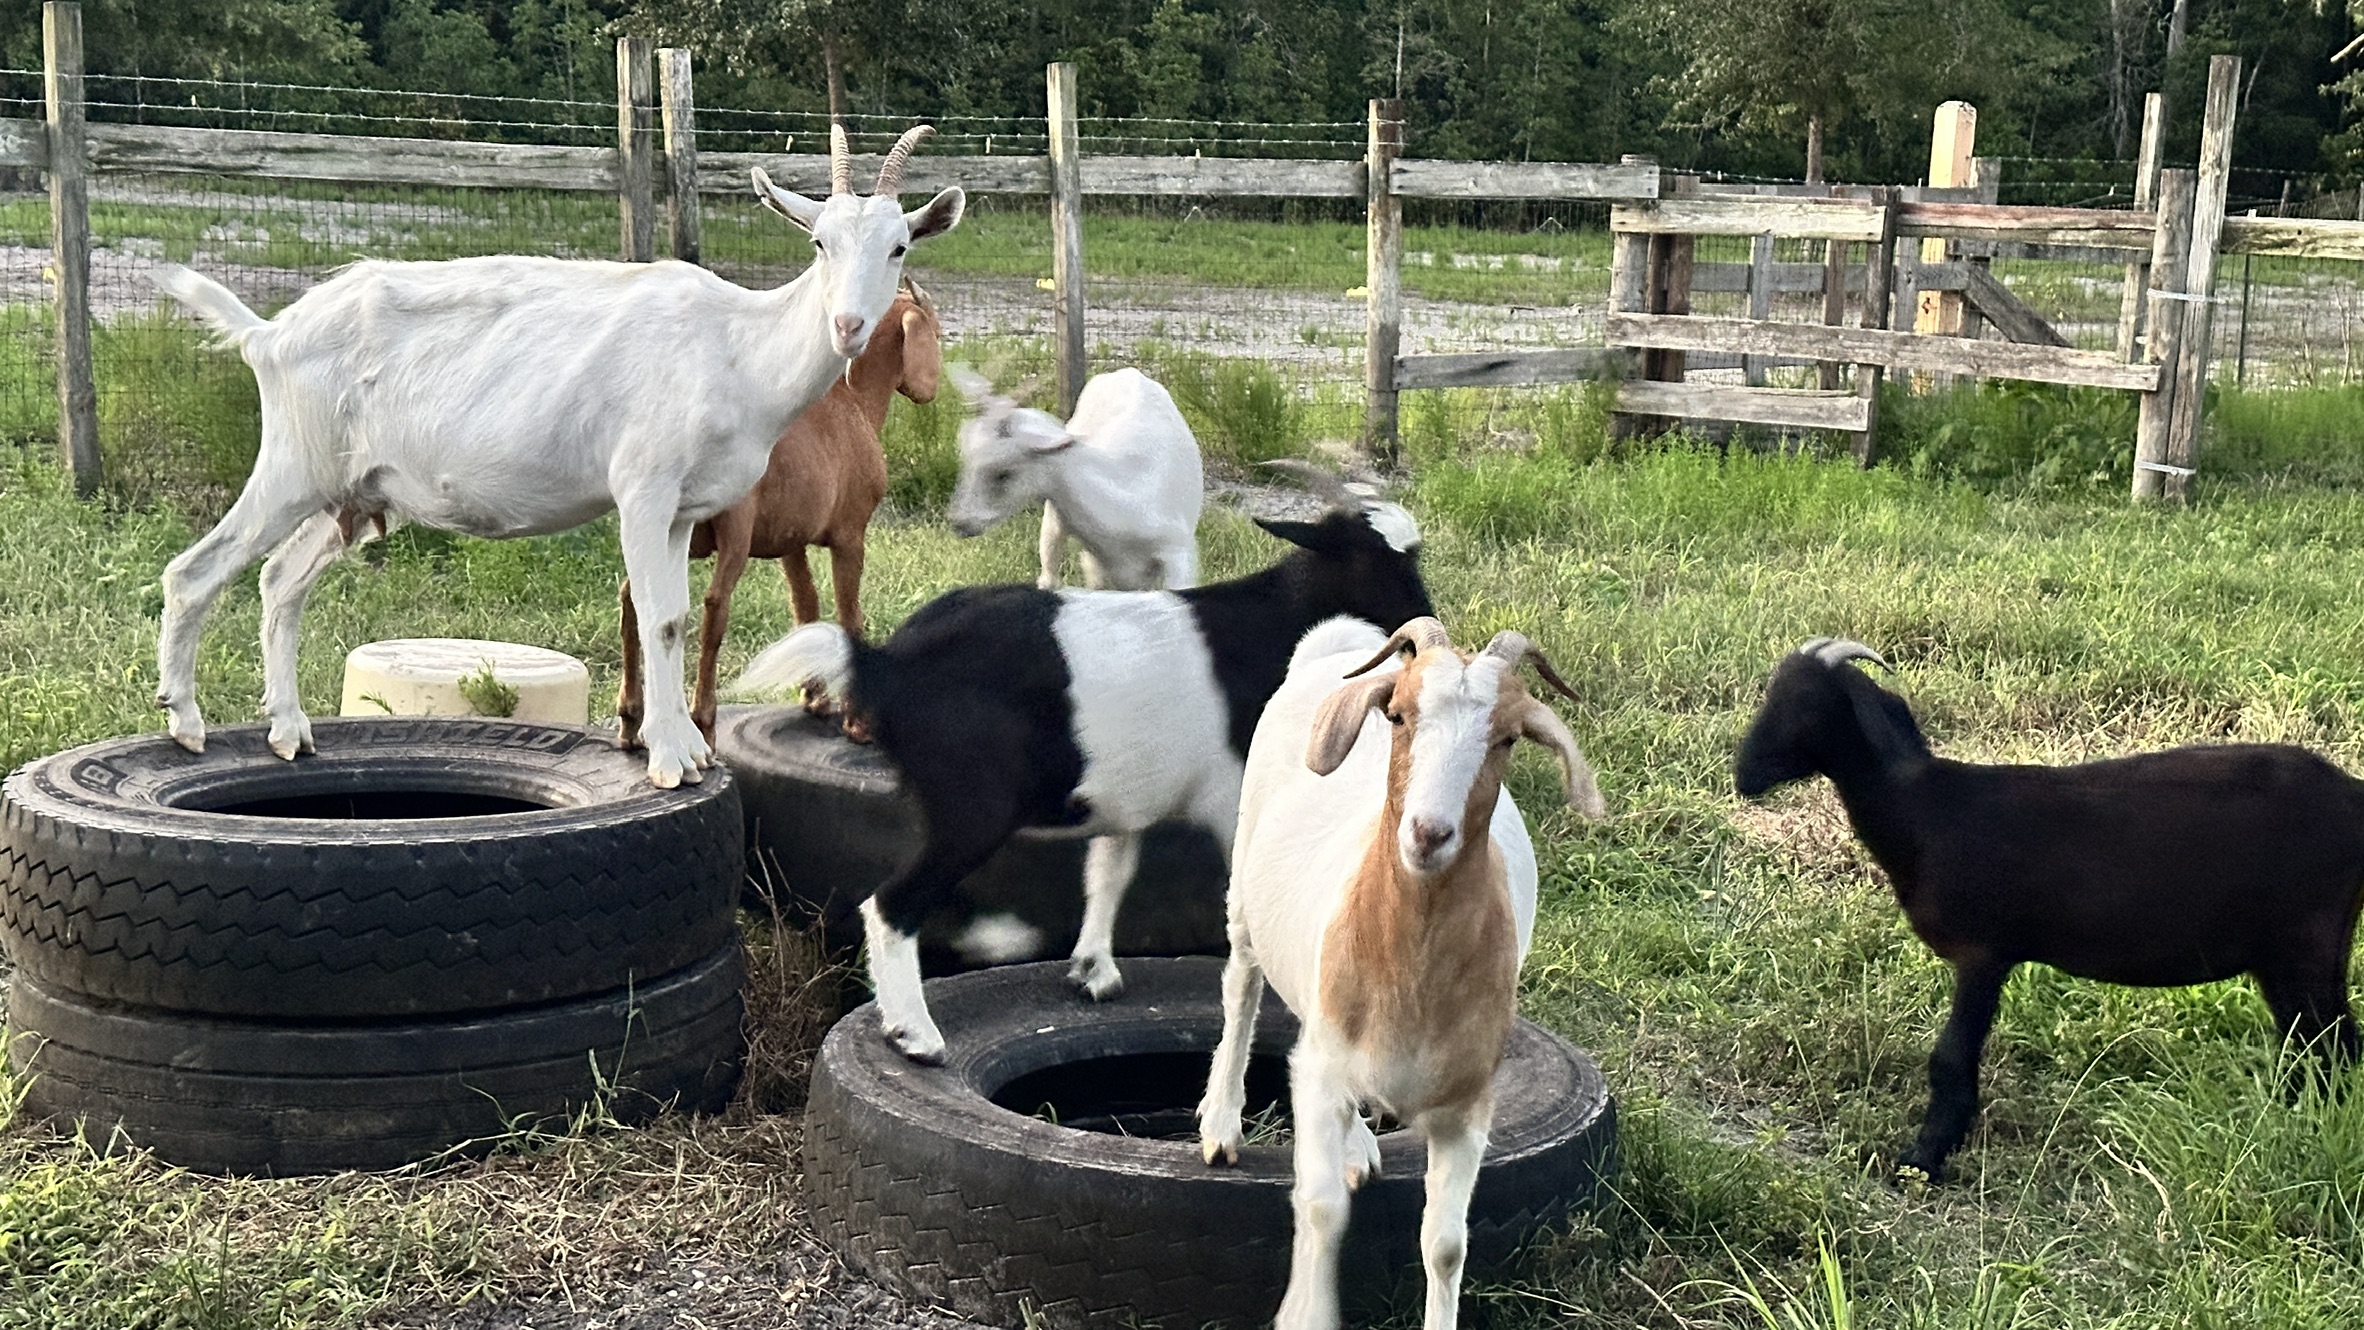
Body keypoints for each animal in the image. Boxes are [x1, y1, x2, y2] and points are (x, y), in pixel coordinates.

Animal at [616, 281, 942, 746]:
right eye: (937, 330)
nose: (934, 387)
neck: (854, 402)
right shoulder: (851, 536)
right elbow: (850, 616)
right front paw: (858, 722)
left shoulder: (792, 542)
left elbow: (805, 606)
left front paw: (815, 697)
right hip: (734, 531)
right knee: (715, 605)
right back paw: (704, 718)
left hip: (672, 531)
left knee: (632, 594)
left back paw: (630, 718)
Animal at [734, 479, 1434, 1064]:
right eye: (1383, 562)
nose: (1430, 627)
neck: (1273, 626)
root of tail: (881, 664)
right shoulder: (1232, 795)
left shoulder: (1127, 797)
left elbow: (1110, 872)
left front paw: (1093, 969)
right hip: (972, 805)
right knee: (891, 903)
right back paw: (917, 1034)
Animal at [1196, 616, 1604, 1330]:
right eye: (1398, 715)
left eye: (1507, 737)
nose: (1428, 834)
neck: (1410, 971)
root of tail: (1332, 652)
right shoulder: (1322, 1077)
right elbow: (1320, 1210)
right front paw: (1305, 1314)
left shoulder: (1466, 1106)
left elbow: (1444, 1245)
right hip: (1245, 892)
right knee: (1241, 986)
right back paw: (1220, 1124)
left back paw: (1357, 1145)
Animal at [1735, 637, 2364, 1183]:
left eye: (1810, 704)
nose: (1744, 775)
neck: (1926, 810)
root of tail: (2352, 794)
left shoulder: (1983, 951)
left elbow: (1950, 1058)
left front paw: (1923, 1160)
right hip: (2288, 955)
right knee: (2313, 1046)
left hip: (2309, 942)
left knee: (2332, 1047)